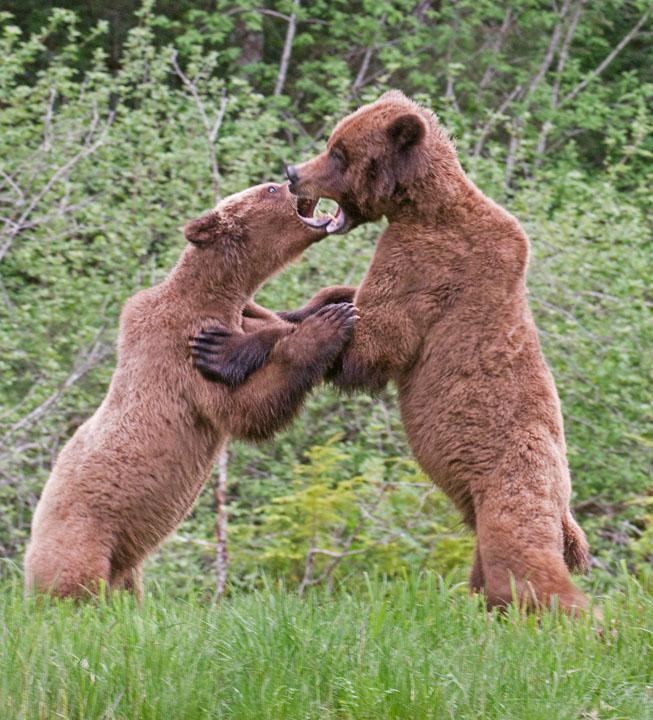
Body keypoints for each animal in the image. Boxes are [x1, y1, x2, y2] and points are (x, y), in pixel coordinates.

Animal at [24, 181, 356, 599]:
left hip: (123, 567)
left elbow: (275, 323)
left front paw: (332, 301)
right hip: (81, 541)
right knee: (77, 585)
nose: (290, 180)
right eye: (270, 188)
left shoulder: (244, 315)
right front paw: (329, 324)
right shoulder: (182, 354)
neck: (218, 294)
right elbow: (244, 408)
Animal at [193, 92, 590, 614]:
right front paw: (289, 309)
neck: (418, 206)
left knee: (524, 562)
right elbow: (346, 298)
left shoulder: (426, 265)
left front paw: (224, 345)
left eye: (338, 153)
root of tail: (565, 507)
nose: (294, 171)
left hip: (514, 485)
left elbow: (371, 344)